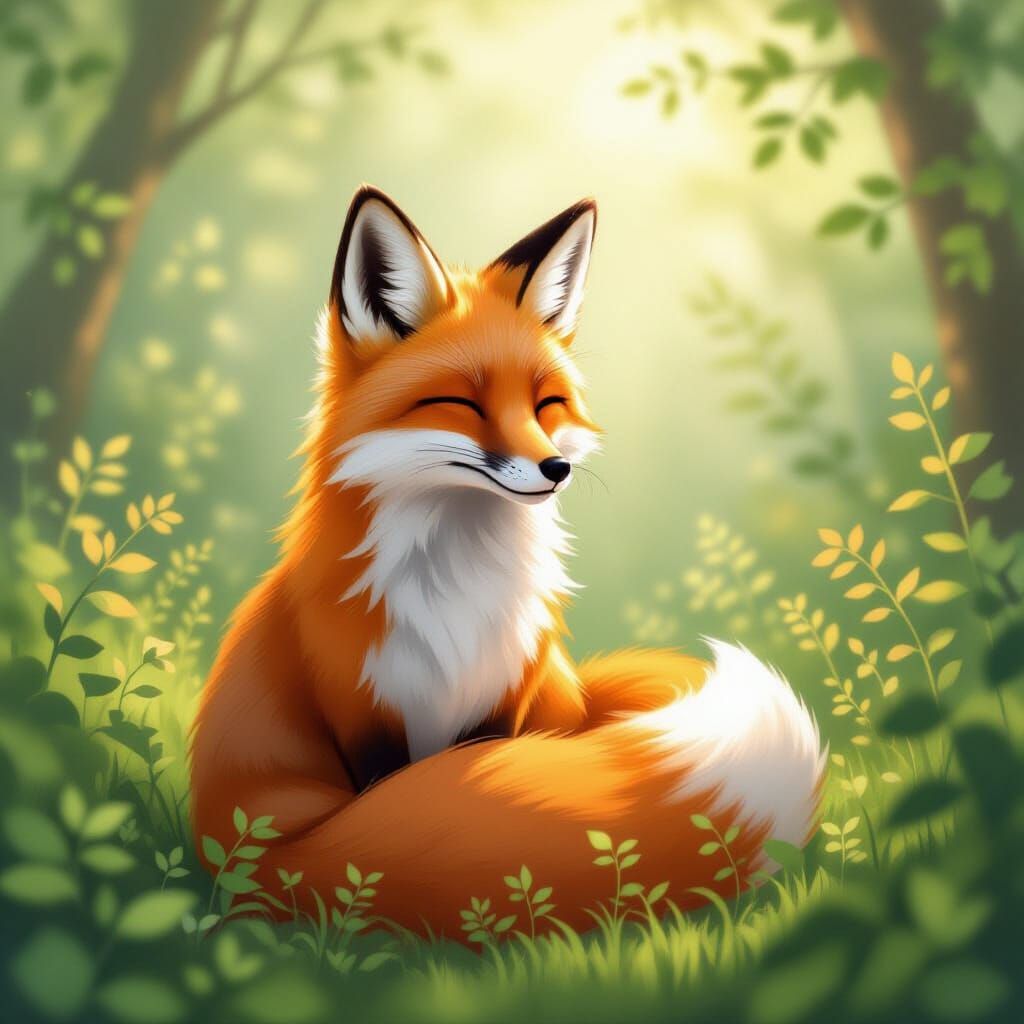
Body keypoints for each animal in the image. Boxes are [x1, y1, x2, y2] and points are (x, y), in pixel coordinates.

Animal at [191, 185, 825, 937]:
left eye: (546, 403)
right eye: (462, 403)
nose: (555, 468)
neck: (455, 588)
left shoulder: (502, 700)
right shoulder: (361, 711)